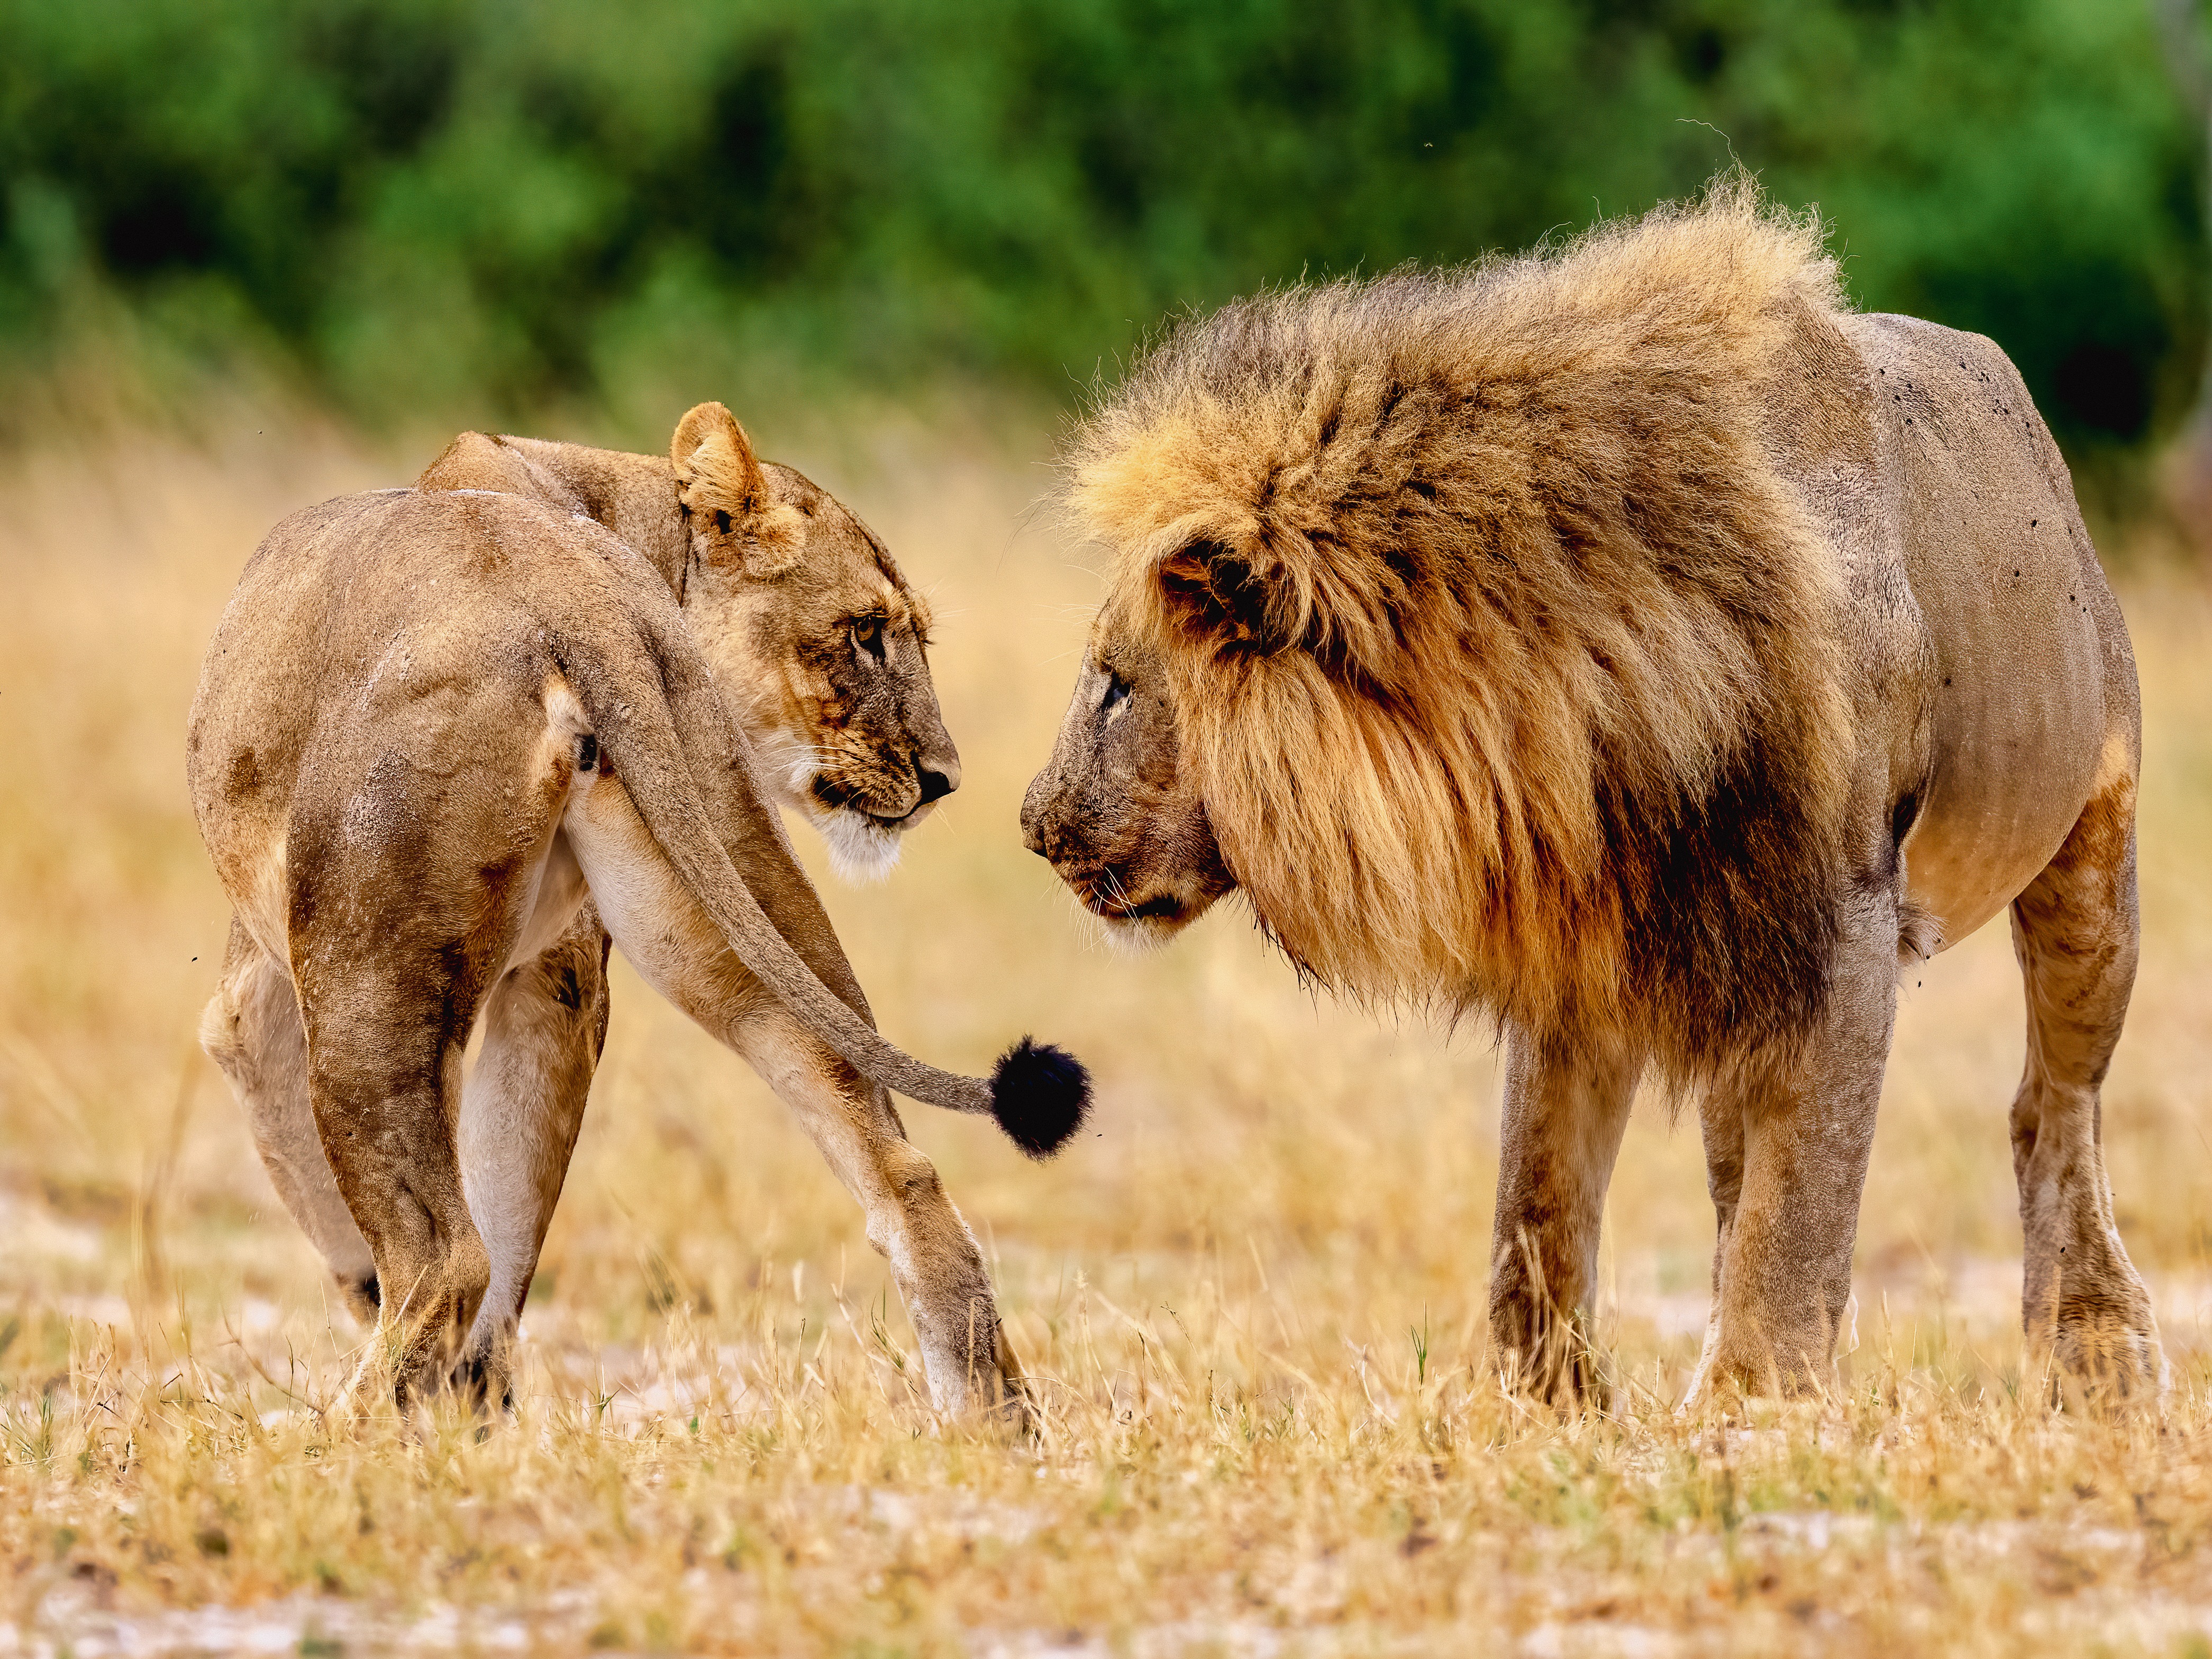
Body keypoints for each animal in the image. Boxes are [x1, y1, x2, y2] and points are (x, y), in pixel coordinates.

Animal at [191, 402, 1088, 1417]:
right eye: (865, 633)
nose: (944, 778)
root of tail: (569, 593)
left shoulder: (254, 994)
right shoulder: (567, 975)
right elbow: (514, 1202)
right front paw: (478, 1408)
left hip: (367, 973)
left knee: (446, 1258)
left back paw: (346, 1431)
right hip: (728, 880)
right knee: (902, 1172)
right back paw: (995, 1424)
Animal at [1021, 179, 2159, 1403]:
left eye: (1116, 686)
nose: (1032, 826)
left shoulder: (1845, 920)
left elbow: (1802, 1200)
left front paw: (1754, 1397)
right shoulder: (1582, 929)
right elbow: (1538, 1195)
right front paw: (1543, 1403)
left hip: (2089, 869)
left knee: (2051, 1109)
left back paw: (2097, 1350)